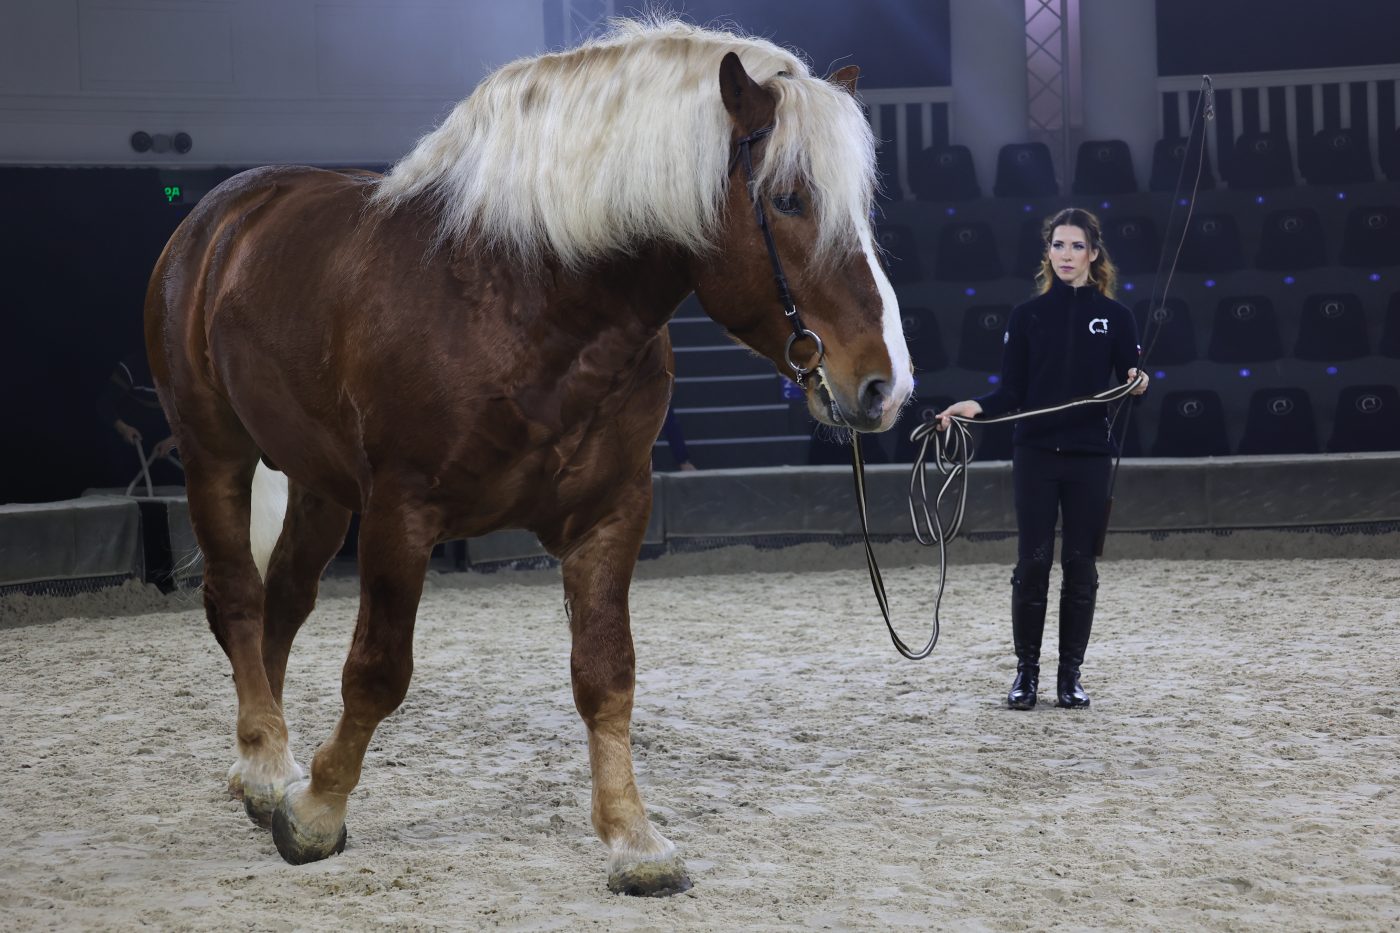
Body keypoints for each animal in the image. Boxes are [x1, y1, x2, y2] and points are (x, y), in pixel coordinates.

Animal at [147, 19, 912, 896]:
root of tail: (221, 216)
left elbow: (606, 675)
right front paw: (317, 811)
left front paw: (633, 839)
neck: (525, 297)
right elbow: (377, 670)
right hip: (216, 453)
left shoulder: (611, 514)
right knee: (238, 600)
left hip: (321, 486)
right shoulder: (402, 513)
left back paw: (261, 766)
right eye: (787, 198)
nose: (886, 385)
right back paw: (270, 764)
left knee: (284, 602)